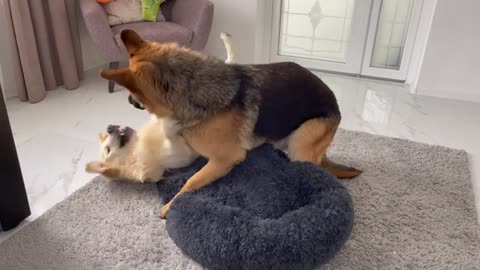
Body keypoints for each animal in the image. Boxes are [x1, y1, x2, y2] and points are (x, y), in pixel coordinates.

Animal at [99, 29, 360, 218]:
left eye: (135, 93)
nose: (130, 101)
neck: (192, 84)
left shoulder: (224, 159)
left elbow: (192, 181)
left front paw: (172, 205)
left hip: (302, 142)